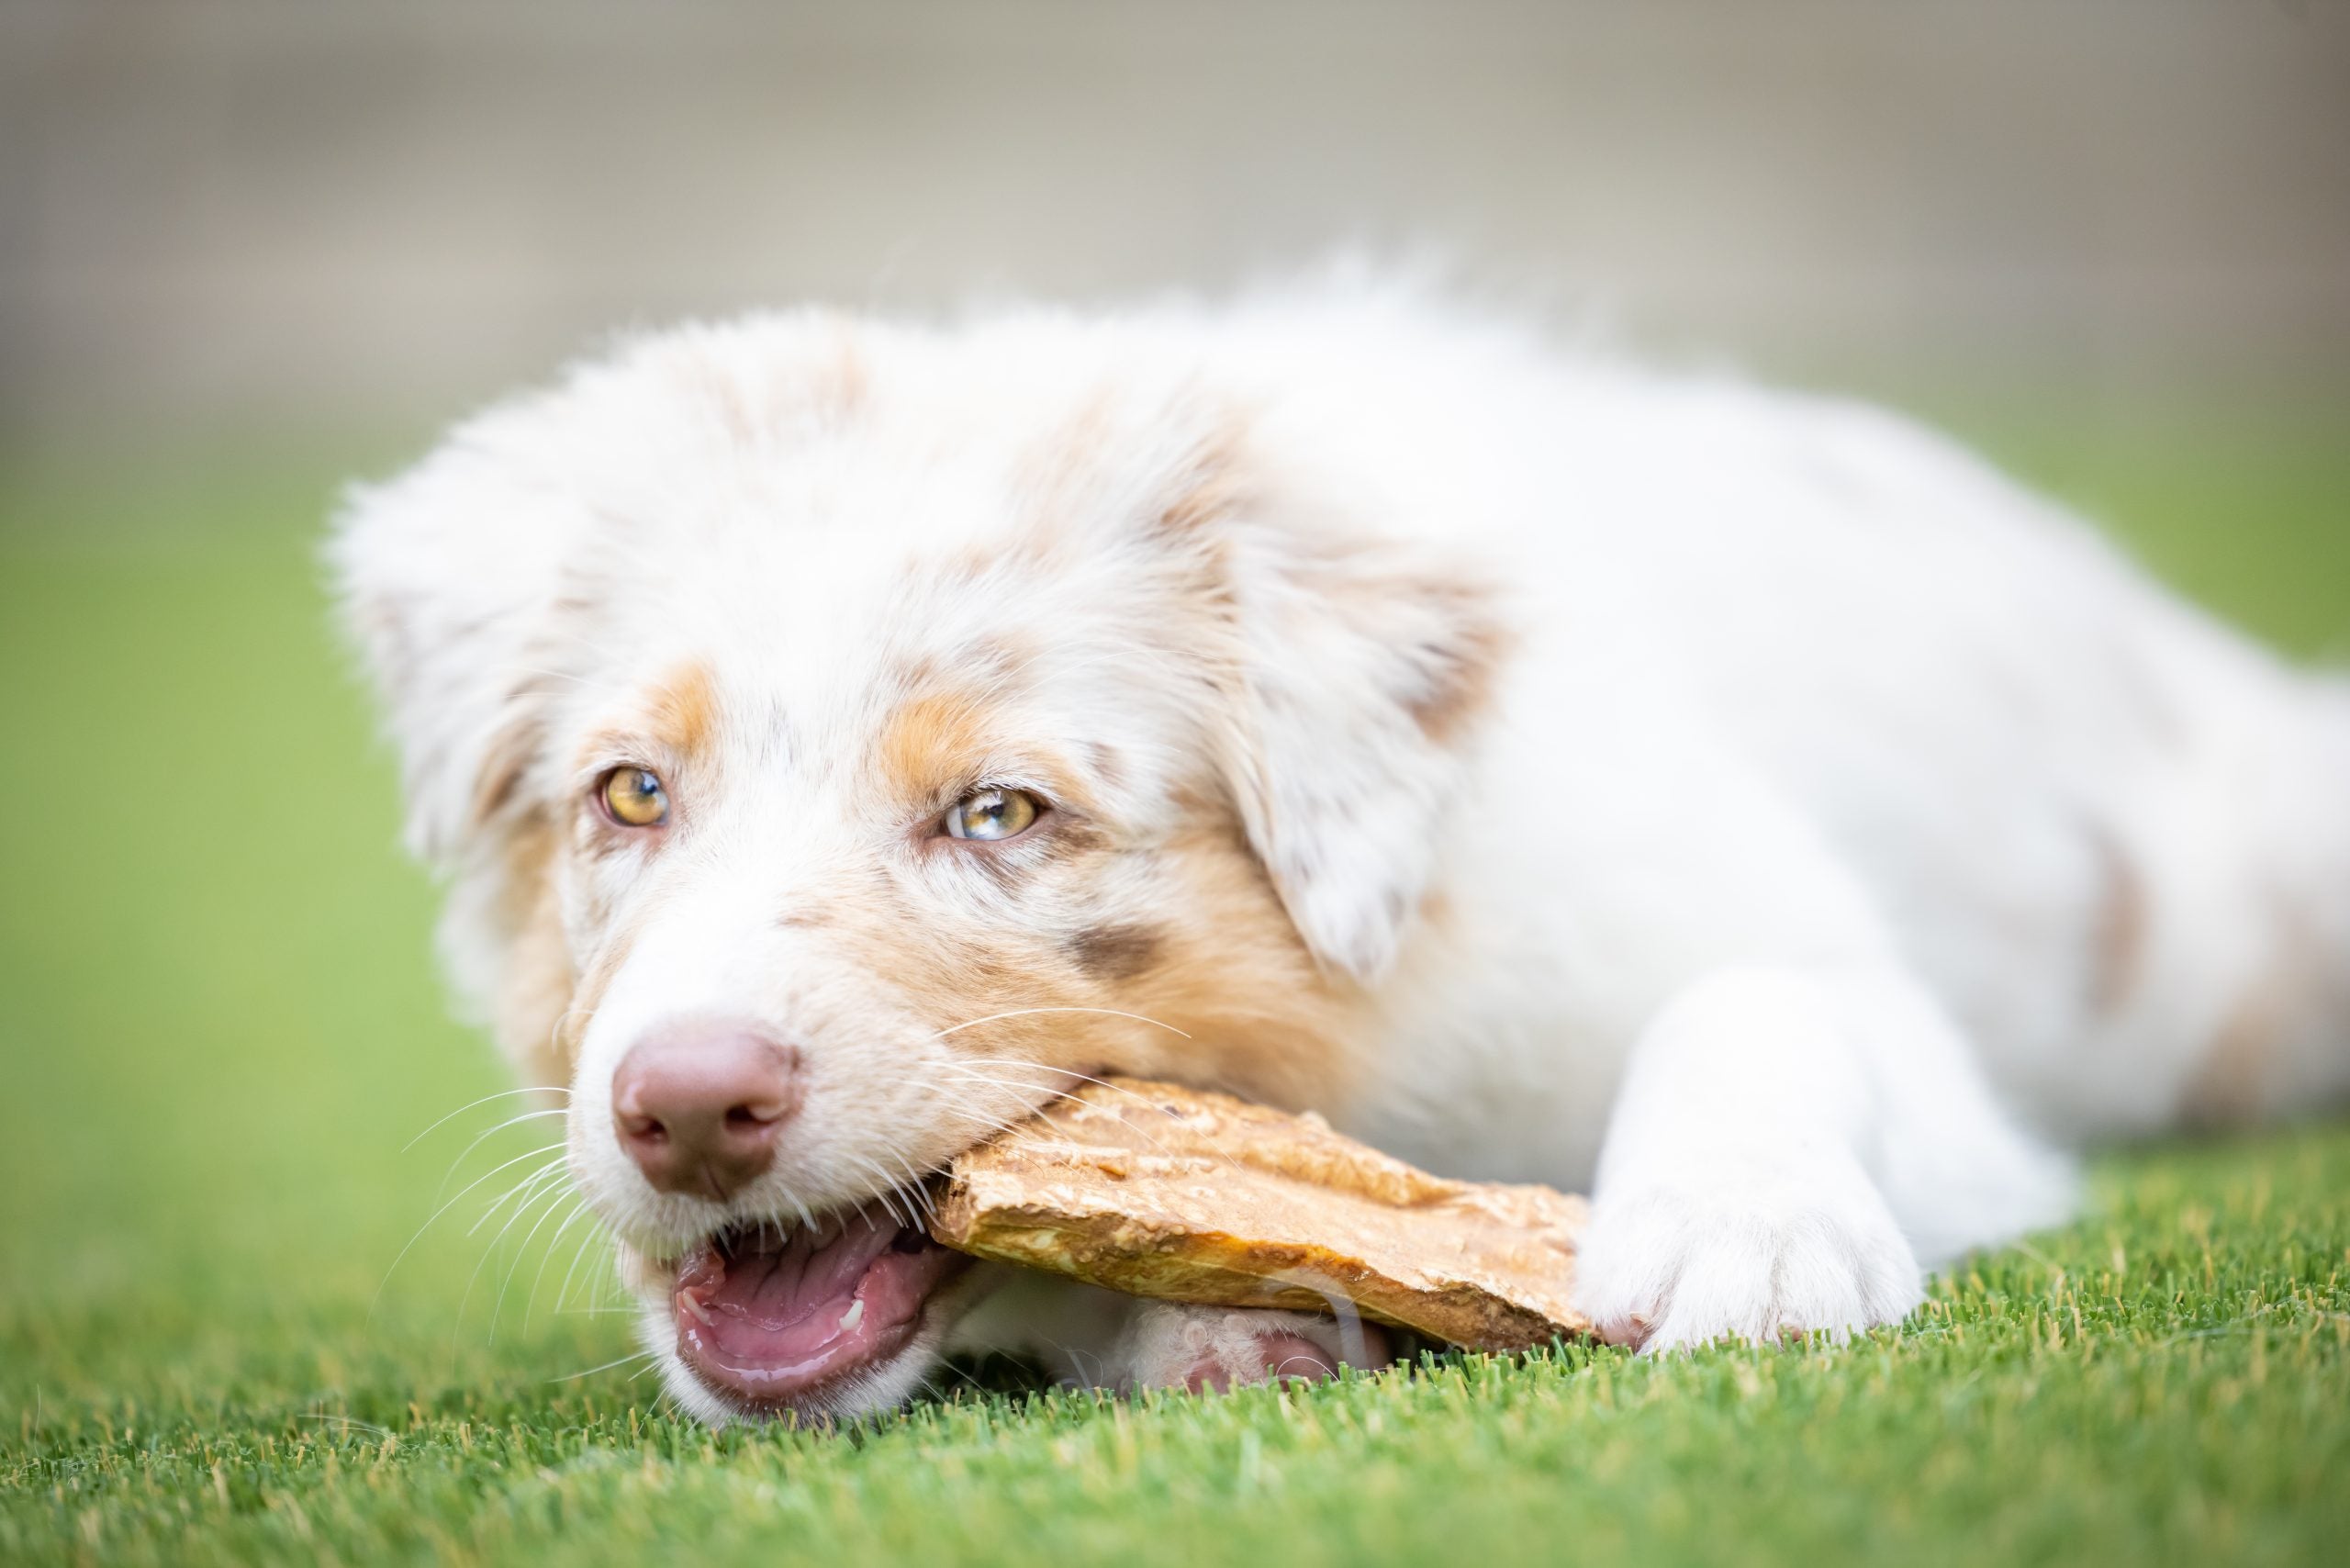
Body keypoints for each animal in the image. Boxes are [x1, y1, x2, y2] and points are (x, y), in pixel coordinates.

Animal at [330, 287, 2350, 1428]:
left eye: (1000, 813)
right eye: (629, 795)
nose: (684, 1107)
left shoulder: (1836, 990)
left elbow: (1766, 1002)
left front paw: (1744, 1234)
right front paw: (1212, 1335)